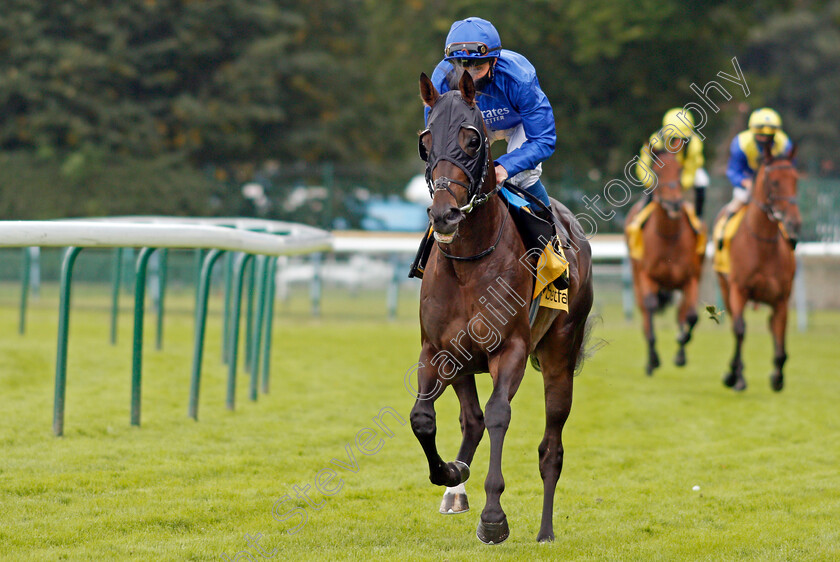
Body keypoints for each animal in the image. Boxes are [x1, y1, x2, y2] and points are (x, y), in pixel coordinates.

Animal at [408, 71, 592, 544]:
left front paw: (493, 517)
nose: (445, 214)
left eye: (473, 140)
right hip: (461, 362)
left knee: (551, 448)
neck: (468, 261)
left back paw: (545, 532)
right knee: (470, 419)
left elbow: (498, 415)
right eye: (425, 141)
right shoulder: (436, 350)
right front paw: (450, 472)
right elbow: (423, 418)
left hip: (560, 355)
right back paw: (455, 490)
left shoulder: (509, 350)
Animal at [628, 149, 704, 376]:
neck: (669, 236)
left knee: (681, 312)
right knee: (645, 313)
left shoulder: (691, 278)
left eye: (680, 170)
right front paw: (653, 360)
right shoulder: (646, 276)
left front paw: (681, 344)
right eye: (657, 171)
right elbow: (650, 308)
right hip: (637, 279)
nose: (674, 203)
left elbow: (691, 316)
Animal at [716, 142, 800, 392]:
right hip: (725, 288)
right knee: (736, 326)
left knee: (771, 326)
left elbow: (780, 337)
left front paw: (778, 378)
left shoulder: (781, 299)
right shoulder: (738, 290)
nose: (794, 223)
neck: (762, 244)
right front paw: (735, 377)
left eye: (796, 179)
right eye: (775, 181)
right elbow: (740, 330)